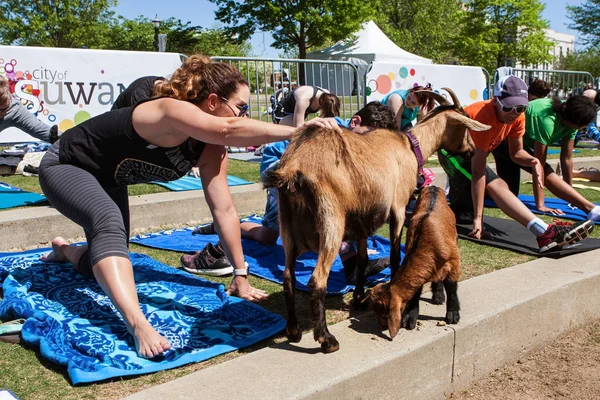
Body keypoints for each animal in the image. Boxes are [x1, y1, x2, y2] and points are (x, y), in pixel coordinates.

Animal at [368, 184, 462, 338]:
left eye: (385, 314)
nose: (382, 325)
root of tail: (434, 187)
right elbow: (417, 288)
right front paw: (410, 317)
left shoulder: (454, 261)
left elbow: (451, 286)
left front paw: (453, 314)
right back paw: (438, 295)